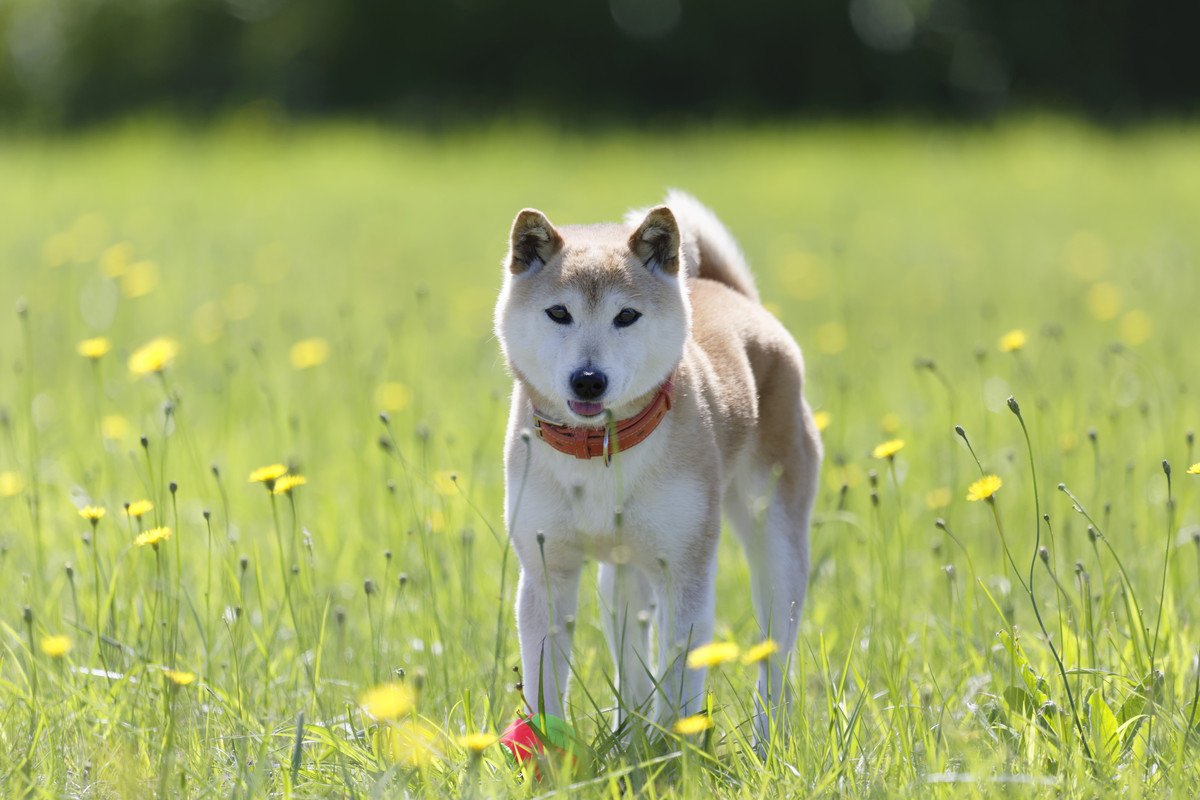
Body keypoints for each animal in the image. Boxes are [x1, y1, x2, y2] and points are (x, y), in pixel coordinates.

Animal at [492, 190, 820, 743]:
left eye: (626, 316)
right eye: (558, 312)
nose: (588, 380)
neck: (600, 448)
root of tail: (736, 297)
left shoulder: (684, 569)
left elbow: (682, 674)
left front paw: (676, 749)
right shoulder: (546, 569)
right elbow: (544, 680)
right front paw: (546, 750)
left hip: (776, 545)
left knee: (774, 653)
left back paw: (766, 738)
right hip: (621, 574)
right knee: (629, 649)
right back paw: (629, 731)